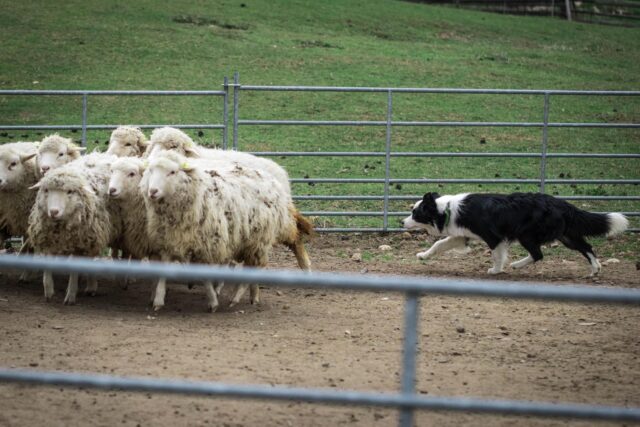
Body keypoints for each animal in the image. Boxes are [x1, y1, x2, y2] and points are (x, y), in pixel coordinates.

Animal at [28, 159, 114, 304]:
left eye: (69, 191)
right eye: (46, 190)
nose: (54, 212)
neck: (60, 230)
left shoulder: (79, 245)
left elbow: (74, 272)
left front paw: (71, 295)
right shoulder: (48, 241)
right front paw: (49, 291)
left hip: (92, 238)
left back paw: (91, 286)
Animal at [140, 151, 305, 312]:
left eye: (172, 172)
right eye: (150, 170)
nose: (152, 191)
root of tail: (272, 180)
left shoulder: (206, 247)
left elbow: (205, 278)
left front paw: (213, 302)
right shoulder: (168, 241)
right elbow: (162, 272)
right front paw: (158, 300)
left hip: (258, 241)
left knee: (252, 267)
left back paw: (235, 299)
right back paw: (253, 297)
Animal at [145, 127, 312, 271]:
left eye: (173, 146)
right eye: (152, 145)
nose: (151, 161)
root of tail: (280, 171)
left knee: (295, 237)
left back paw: (306, 267)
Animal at [401, 192, 629, 276]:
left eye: (415, 212)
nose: (401, 222)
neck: (445, 210)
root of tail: (562, 203)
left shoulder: (493, 237)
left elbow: (496, 254)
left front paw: (495, 270)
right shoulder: (461, 234)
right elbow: (439, 245)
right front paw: (423, 256)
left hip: (526, 234)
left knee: (538, 254)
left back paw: (517, 265)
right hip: (566, 235)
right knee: (586, 247)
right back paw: (595, 269)